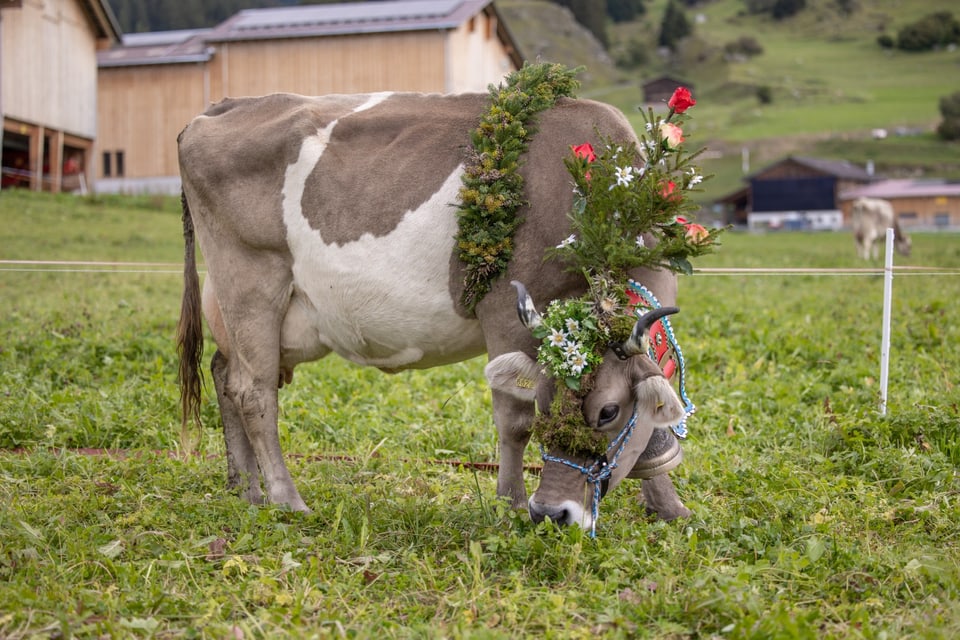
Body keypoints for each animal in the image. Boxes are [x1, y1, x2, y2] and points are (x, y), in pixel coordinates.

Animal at [178, 90, 688, 528]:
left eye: (607, 412)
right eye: (545, 403)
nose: (553, 513)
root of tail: (225, 106)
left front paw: (669, 507)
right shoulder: (504, 310)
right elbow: (514, 421)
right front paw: (510, 504)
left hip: (245, 308)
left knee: (224, 374)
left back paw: (246, 489)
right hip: (250, 282)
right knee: (254, 393)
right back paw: (286, 499)